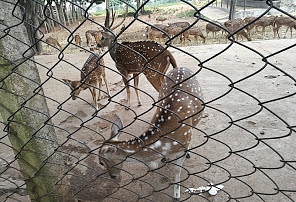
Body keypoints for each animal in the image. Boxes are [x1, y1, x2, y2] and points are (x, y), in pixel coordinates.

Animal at [98, 67, 205, 201]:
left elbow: (177, 170)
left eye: (101, 162)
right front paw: (158, 162)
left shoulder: (182, 145)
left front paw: (176, 195)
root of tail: (181, 67)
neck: (166, 143)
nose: (112, 176)